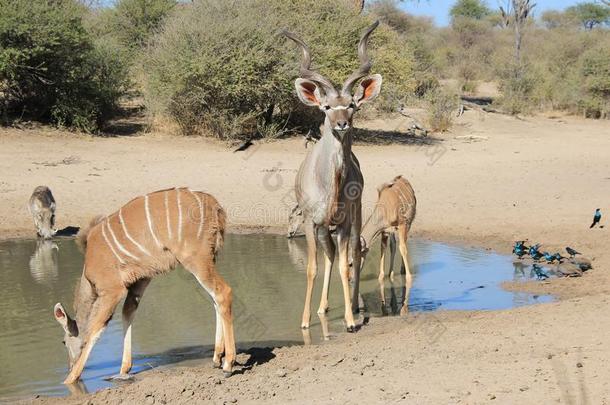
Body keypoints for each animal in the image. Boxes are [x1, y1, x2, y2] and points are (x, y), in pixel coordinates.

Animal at [52, 186, 235, 382]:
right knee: (214, 299)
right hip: (209, 259)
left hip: (195, 259)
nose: (69, 366)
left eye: (64, 341)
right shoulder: (141, 280)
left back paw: (228, 364)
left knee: (223, 292)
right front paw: (124, 369)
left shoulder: (112, 290)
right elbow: (127, 313)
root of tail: (215, 207)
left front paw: (70, 380)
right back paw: (217, 357)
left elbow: (95, 329)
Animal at [282, 22, 380, 330]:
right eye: (325, 107)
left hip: (354, 217)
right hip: (326, 228)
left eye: (352, 105)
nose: (341, 124)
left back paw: (356, 305)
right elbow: (313, 267)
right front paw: (304, 321)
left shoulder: (345, 221)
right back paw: (323, 307)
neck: (331, 184)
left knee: (353, 255)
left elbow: (344, 265)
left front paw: (349, 319)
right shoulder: (313, 222)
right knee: (329, 256)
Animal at [358, 175, 416, 314]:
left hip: (408, 223)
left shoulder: (402, 224)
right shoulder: (385, 231)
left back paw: (402, 269)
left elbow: (403, 248)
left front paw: (409, 278)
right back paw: (391, 273)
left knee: (403, 244)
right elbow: (384, 248)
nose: (350, 278)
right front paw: (382, 276)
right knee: (393, 246)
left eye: (351, 263)